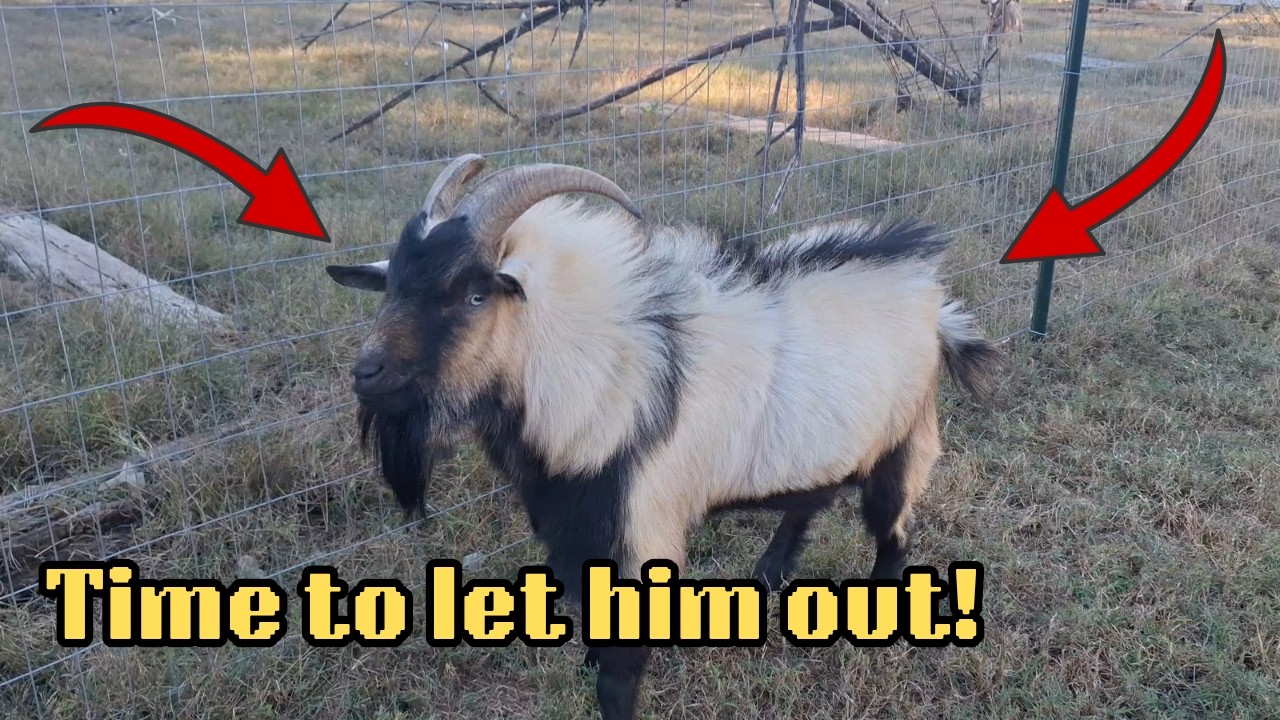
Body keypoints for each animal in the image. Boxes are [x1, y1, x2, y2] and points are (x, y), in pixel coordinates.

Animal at [325, 153, 1005, 720]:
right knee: (809, 501)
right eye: (392, 286)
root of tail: (933, 299)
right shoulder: (575, 525)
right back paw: (767, 576)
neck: (607, 369)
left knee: (893, 531)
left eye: (472, 294)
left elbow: (620, 676)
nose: (366, 375)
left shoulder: (640, 524)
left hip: (905, 439)